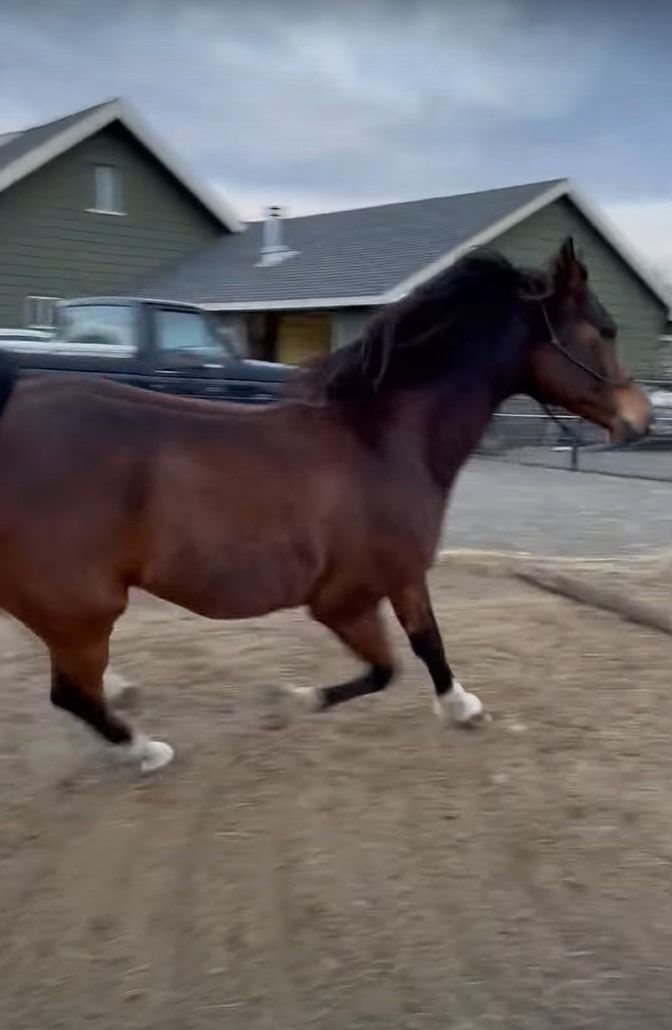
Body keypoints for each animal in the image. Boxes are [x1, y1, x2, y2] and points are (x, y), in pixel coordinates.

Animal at [0, 238, 655, 774]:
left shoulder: (404, 575)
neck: (385, 441)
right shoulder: (343, 601)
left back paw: (126, 695)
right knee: (70, 692)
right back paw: (145, 747)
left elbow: (428, 642)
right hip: (87, 608)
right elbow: (385, 668)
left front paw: (463, 705)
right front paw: (292, 700)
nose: (641, 421)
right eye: (604, 329)